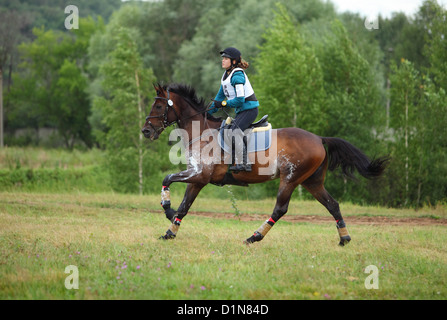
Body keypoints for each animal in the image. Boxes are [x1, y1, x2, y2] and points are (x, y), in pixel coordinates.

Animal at [142, 82, 390, 245]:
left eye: (158, 107)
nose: (146, 131)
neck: (201, 132)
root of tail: (319, 138)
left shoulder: (200, 175)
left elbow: (167, 179)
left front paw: (167, 208)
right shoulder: (197, 179)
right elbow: (184, 206)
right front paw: (169, 232)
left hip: (290, 178)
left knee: (280, 209)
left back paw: (254, 236)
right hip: (311, 181)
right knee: (333, 204)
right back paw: (344, 238)